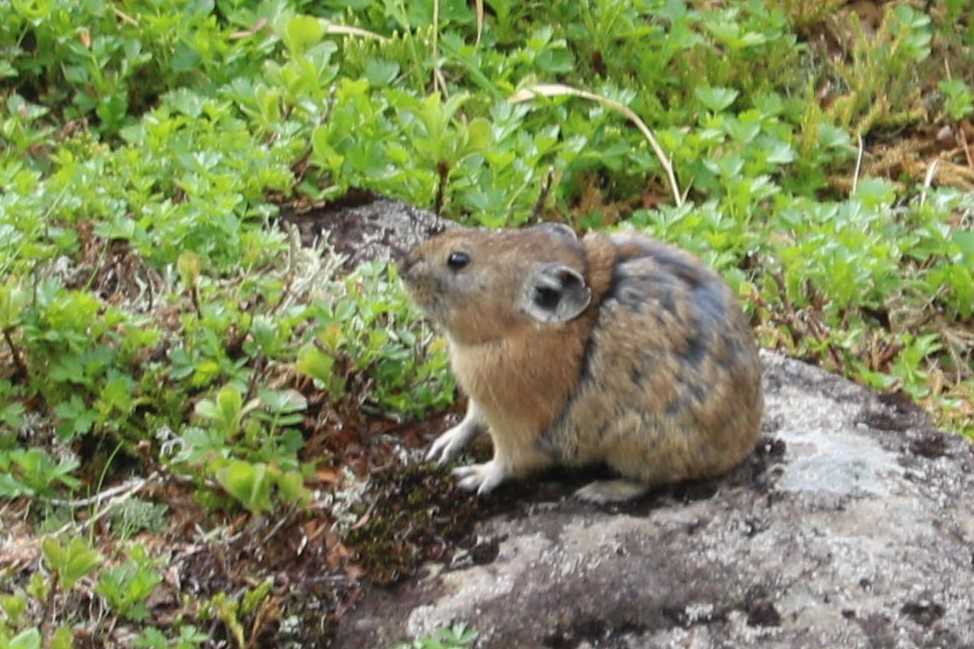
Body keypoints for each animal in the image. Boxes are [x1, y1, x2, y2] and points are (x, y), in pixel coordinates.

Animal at [399, 223, 763, 503]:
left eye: (458, 259)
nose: (403, 266)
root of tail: (743, 442)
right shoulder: (482, 399)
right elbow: (471, 418)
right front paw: (442, 446)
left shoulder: (517, 421)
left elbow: (508, 461)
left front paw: (474, 475)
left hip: (640, 441)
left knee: (651, 479)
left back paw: (599, 491)